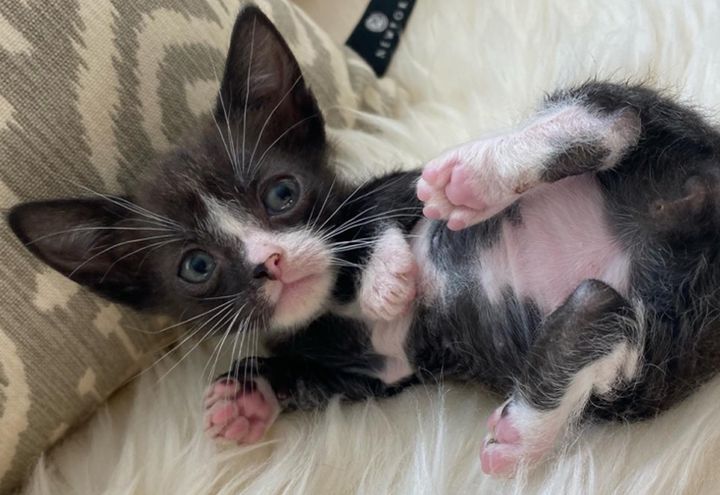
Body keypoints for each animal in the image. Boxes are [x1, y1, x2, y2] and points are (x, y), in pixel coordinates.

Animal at [8, 4, 720, 480]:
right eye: (197, 265)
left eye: (282, 194)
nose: (269, 262)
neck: (332, 301)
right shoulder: (384, 373)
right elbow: (327, 377)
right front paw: (249, 395)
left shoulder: (397, 188)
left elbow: (376, 215)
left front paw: (386, 278)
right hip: (666, 351)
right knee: (611, 313)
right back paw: (533, 422)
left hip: (668, 141)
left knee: (617, 115)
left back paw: (478, 174)